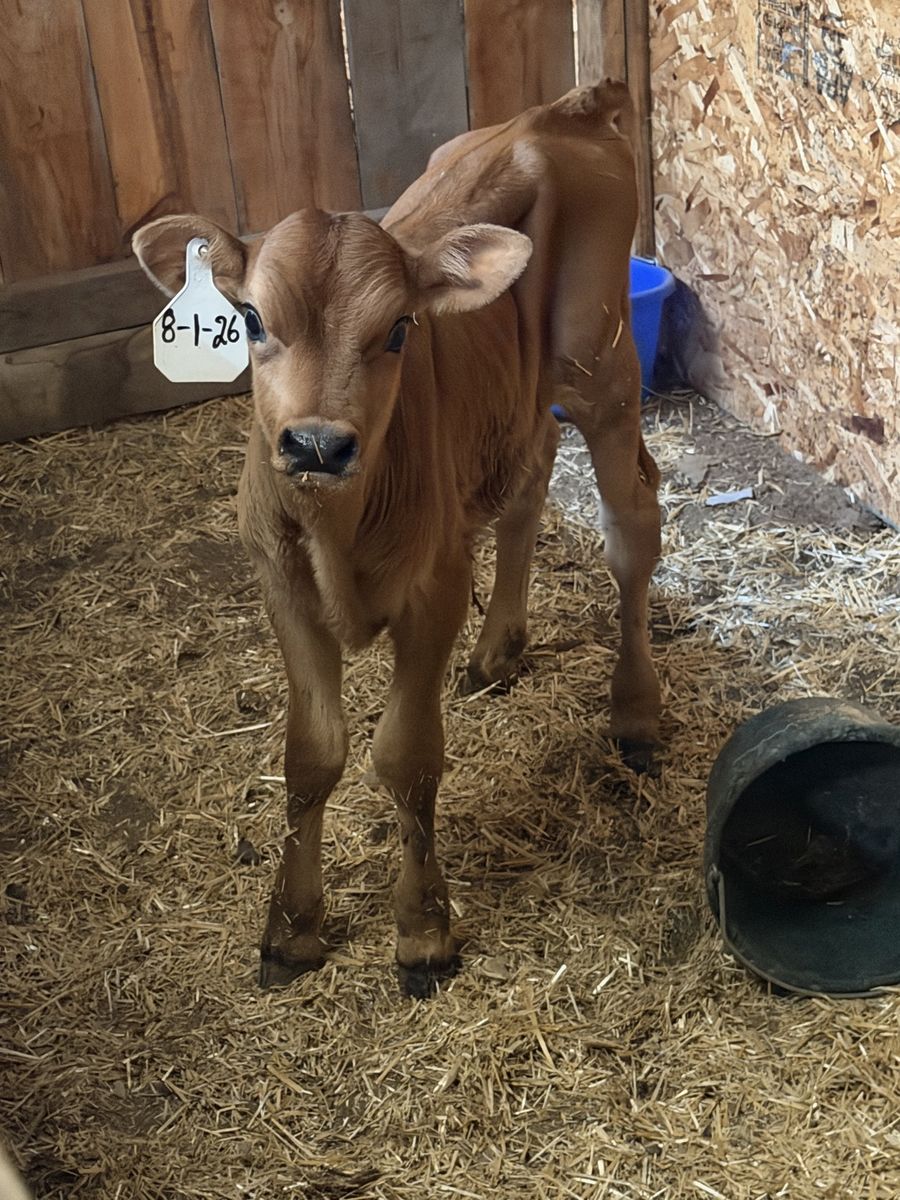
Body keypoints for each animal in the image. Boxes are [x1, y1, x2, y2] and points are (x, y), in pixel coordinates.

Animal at [133, 81, 661, 997]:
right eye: (250, 318)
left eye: (399, 330)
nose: (316, 444)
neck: (337, 533)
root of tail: (561, 108)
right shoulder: (281, 582)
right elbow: (311, 754)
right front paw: (292, 929)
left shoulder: (435, 586)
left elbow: (405, 756)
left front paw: (423, 931)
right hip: (521, 395)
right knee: (528, 481)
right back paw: (498, 652)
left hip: (602, 364)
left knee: (632, 522)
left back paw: (633, 709)